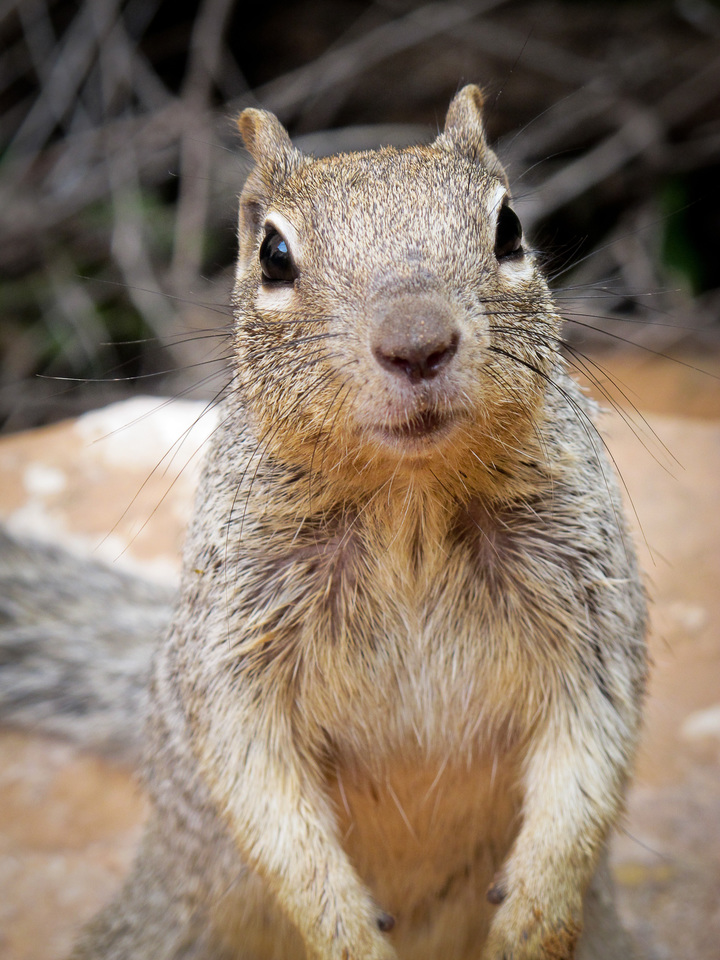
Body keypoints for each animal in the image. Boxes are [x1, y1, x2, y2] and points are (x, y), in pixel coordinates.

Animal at [2, 85, 648, 960]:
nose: (417, 344)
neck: (409, 505)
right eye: (274, 255)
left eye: (510, 227)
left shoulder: (591, 605)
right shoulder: (237, 642)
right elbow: (258, 783)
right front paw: (346, 935)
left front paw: (530, 924)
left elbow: (590, 757)